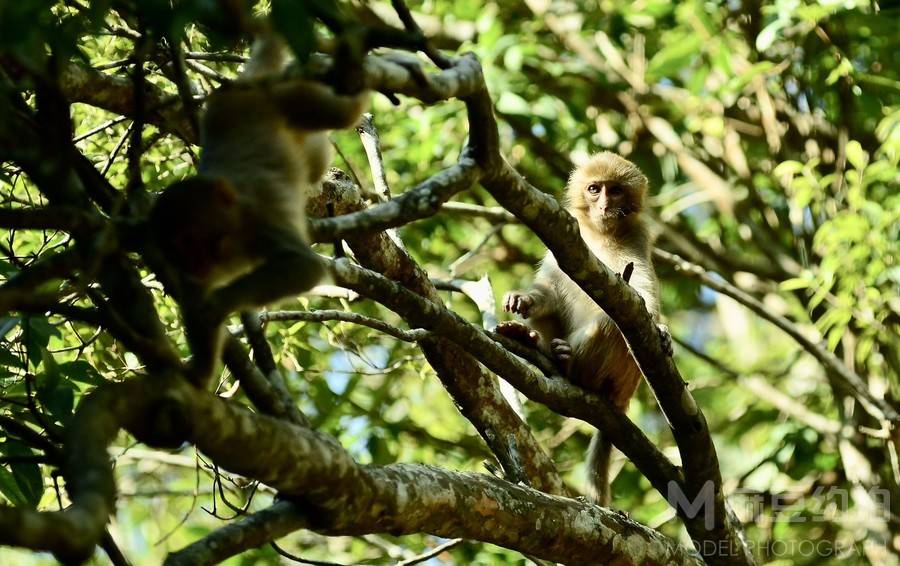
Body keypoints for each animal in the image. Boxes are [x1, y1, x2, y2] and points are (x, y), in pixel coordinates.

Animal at [151, 33, 370, 384]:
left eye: (188, 240)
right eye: (174, 250)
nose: (193, 262)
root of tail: (246, 83)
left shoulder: (257, 220)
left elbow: (303, 267)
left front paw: (219, 304)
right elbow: (194, 305)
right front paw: (198, 372)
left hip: (287, 95)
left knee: (343, 114)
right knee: (313, 156)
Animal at [500, 151, 668, 506]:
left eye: (615, 190)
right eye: (594, 189)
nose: (604, 205)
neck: (602, 237)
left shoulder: (638, 240)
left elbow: (644, 299)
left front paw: (661, 330)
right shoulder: (564, 244)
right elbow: (550, 291)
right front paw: (524, 300)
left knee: (612, 322)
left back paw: (569, 364)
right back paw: (533, 339)